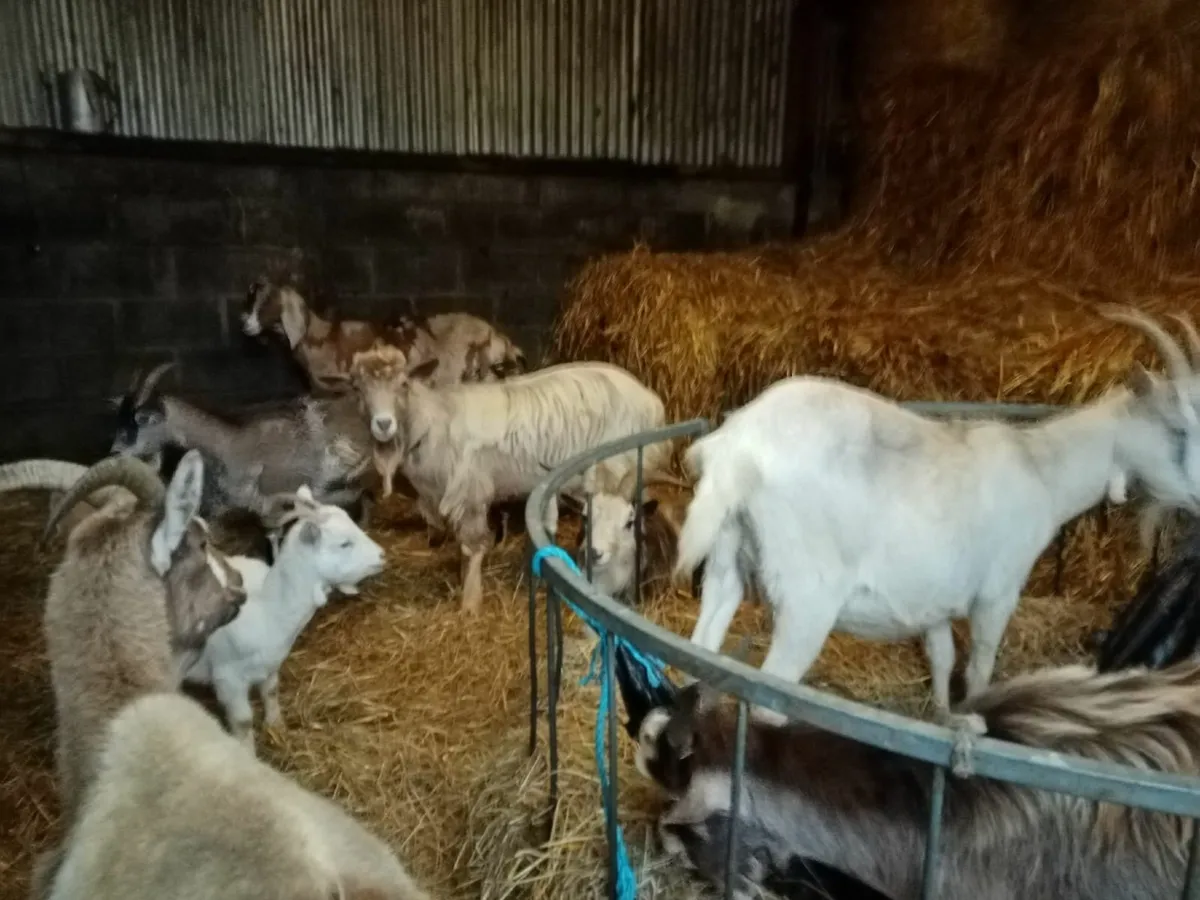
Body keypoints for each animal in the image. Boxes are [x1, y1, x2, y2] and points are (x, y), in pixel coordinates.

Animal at [184, 485, 385, 752]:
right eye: (344, 544)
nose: (383, 555)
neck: (268, 610)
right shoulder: (228, 678)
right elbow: (243, 721)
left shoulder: (270, 664)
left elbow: (271, 692)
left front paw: (276, 725)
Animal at [347, 345, 672, 613]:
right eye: (358, 389)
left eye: (403, 384)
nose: (383, 425)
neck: (433, 421)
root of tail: (653, 401)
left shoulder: (471, 491)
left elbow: (473, 546)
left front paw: (470, 602)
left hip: (618, 466)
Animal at [673, 307, 1200, 723]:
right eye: (1180, 428)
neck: (1041, 468)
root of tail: (737, 450)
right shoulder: (998, 591)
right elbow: (981, 667)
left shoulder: (933, 596)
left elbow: (943, 656)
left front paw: (944, 715)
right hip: (807, 596)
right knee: (769, 697)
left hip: (726, 562)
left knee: (702, 647)